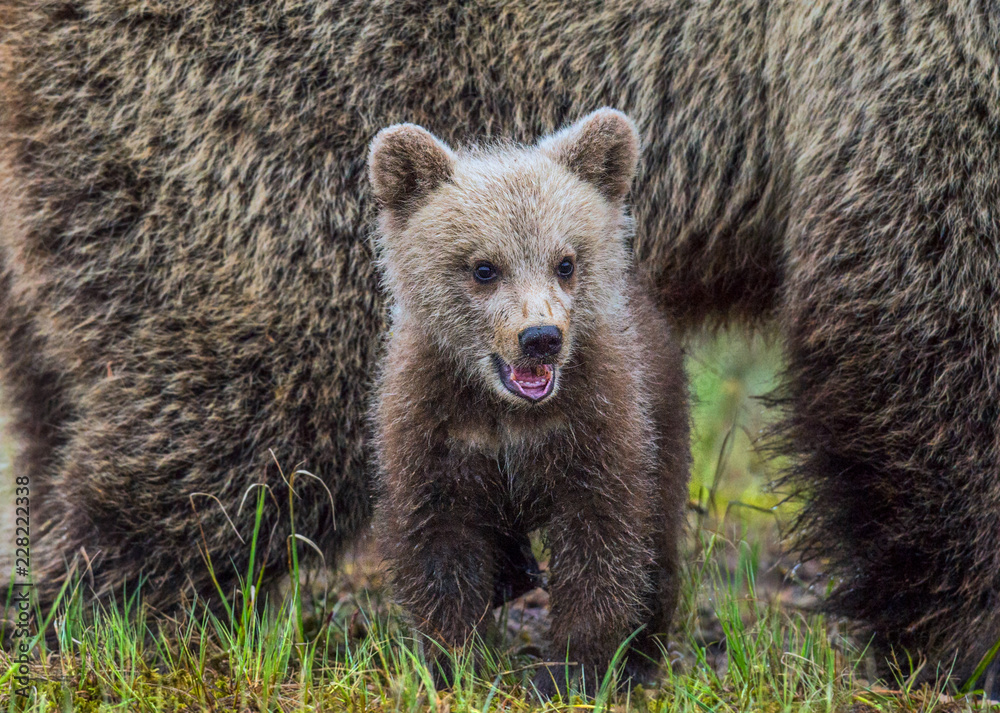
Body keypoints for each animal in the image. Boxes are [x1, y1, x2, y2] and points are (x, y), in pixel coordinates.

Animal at [367, 108, 690, 697]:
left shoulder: (599, 423)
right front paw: (458, 663)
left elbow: (603, 546)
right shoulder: (434, 429)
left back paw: (643, 654)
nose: (540, 337)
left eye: (565, 262)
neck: (508, 415)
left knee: (660, 538)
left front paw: (570, 671)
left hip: (666, 413)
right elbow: (438, 548)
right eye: (484, 267)